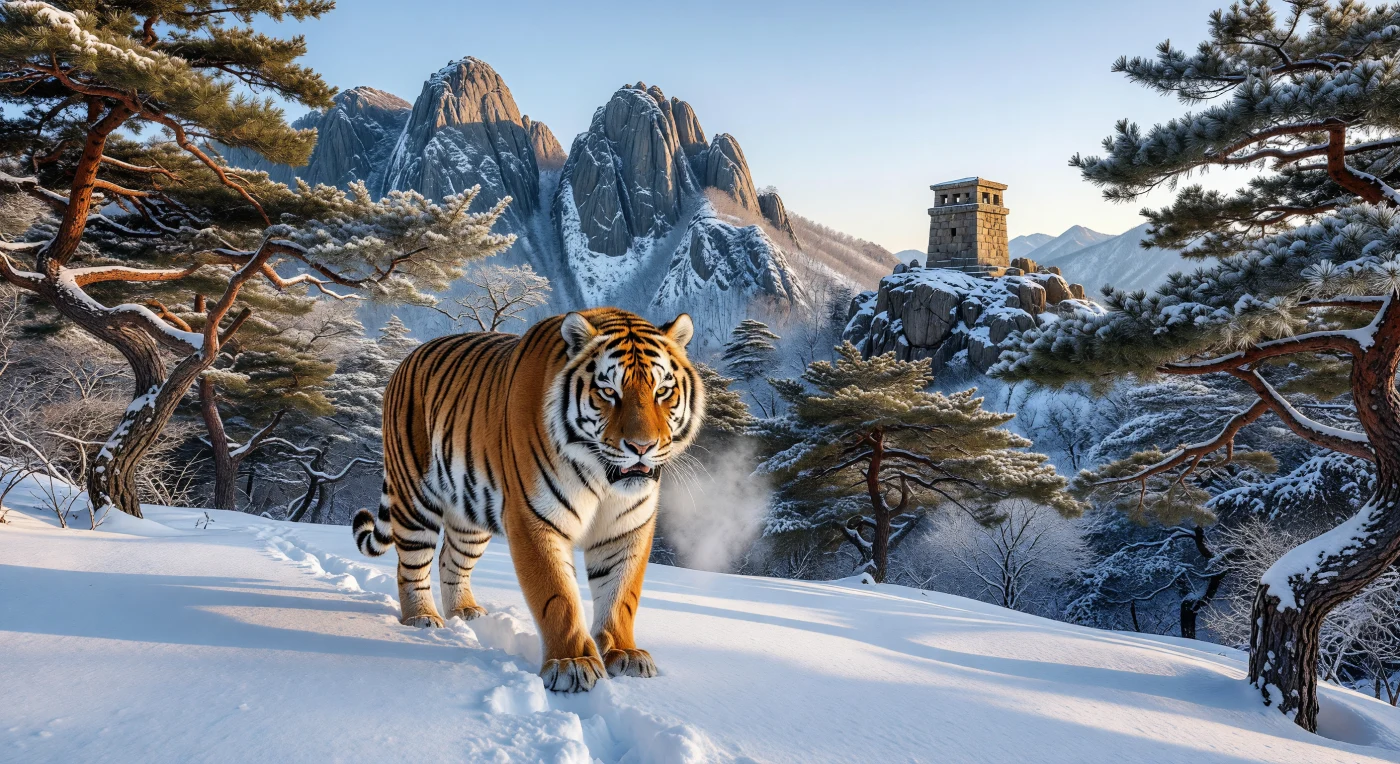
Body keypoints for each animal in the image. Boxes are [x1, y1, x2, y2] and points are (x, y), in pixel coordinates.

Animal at [352, 307, 703, 693]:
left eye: (663, 391)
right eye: (608, 391)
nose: (642, 447)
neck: (602, 476)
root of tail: (407, 358)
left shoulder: (627, 527)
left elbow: (620, 594)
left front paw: (624, 654)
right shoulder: (534, 517)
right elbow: (557, 595)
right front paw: (572, 664)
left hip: (469, 517)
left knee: (450, 559)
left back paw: (464, 612)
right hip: (414, 497)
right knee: (411, 565)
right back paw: (422, 617)